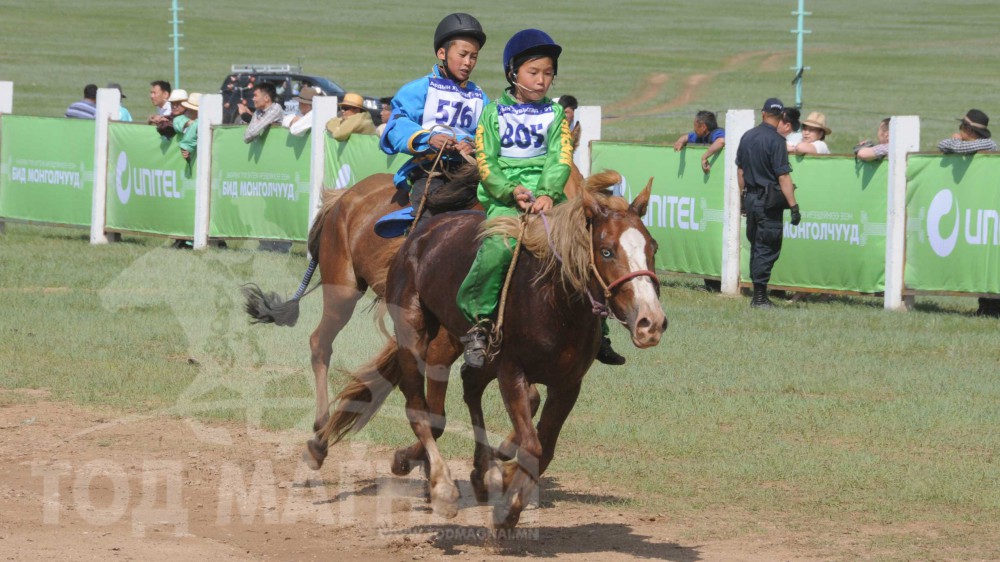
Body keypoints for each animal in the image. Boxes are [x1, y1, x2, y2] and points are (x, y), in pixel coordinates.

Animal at [304, 170, 664, 524]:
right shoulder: (504, 368)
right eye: (606, 251)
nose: (651, 322)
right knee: (354, 365)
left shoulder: (566, 384)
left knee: (465, 389)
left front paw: (501, 477)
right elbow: (514, 436)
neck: (555, 303)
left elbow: (541, 444)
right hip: (364, 302)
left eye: (653, 247)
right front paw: (499, 496)